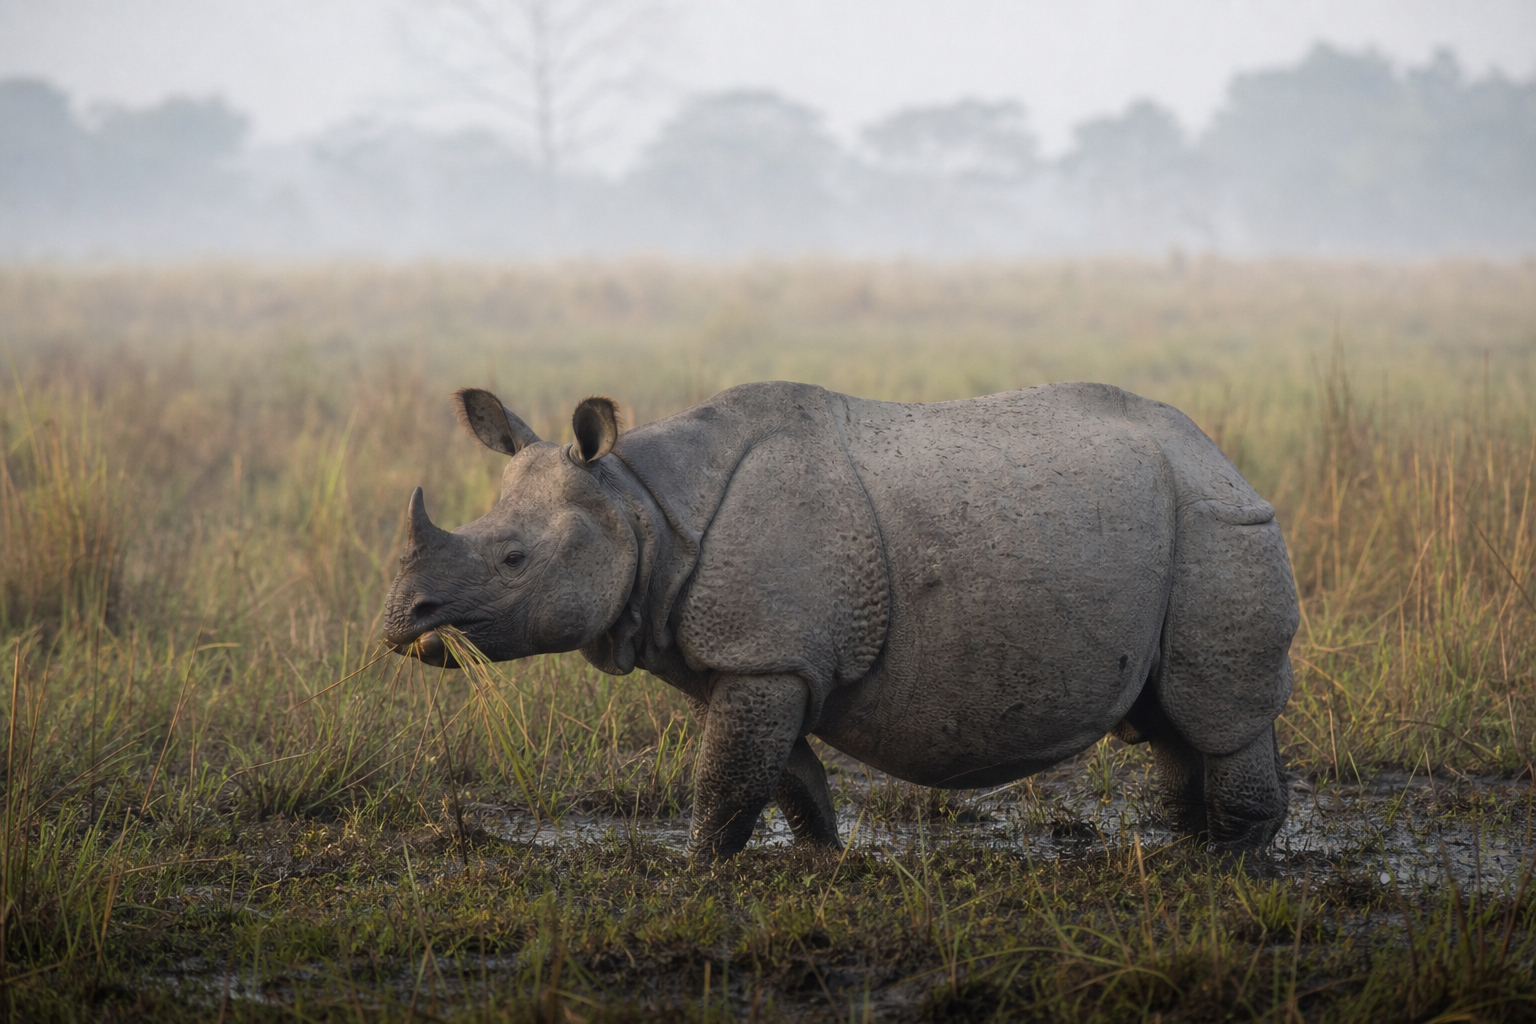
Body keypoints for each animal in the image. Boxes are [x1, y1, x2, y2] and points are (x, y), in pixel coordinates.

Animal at [383, 381, 1298, 861]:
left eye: (513, 561)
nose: (401, 623)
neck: (638, 506)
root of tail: (1223, 458)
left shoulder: (765, 654)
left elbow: (727, 784)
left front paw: (695, 873)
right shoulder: (756, 659)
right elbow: (787, 778)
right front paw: (825, 863)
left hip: (1219, 527)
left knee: (1215, 716)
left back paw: (1232, 870)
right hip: (1176, 520)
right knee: (1170, 724)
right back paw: (1194, 853)